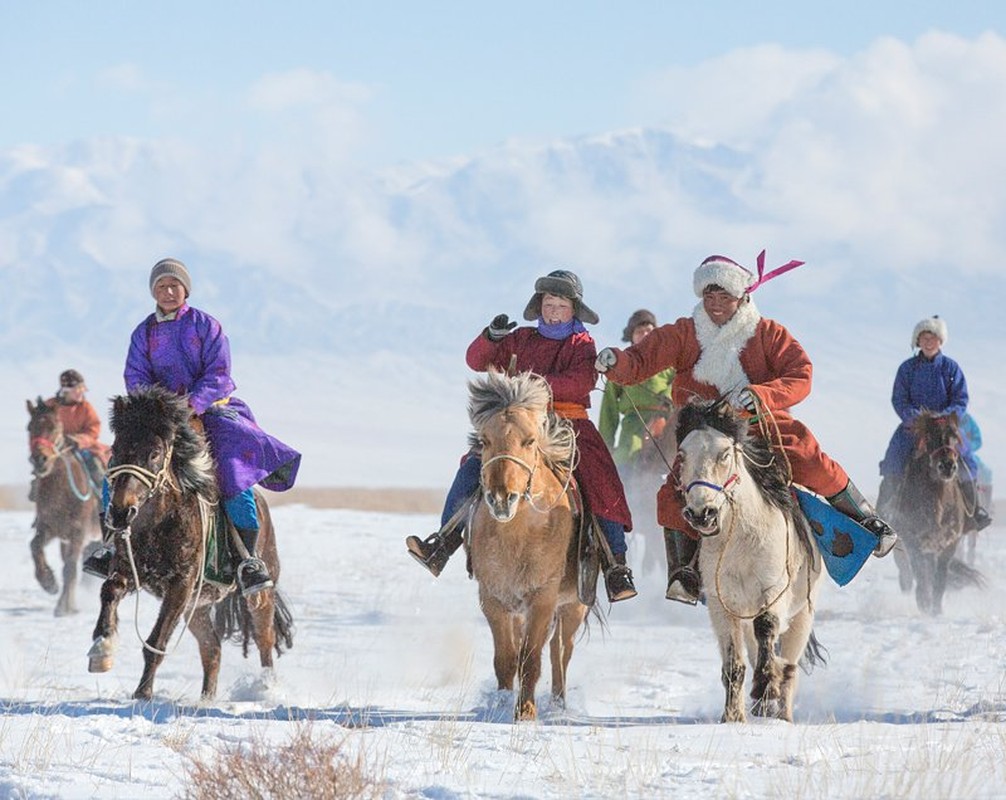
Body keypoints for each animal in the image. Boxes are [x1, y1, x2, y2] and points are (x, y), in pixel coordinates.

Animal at [25, 396, 101, 615]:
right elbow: (35, 547)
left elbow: (70, 569)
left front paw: (63, 608)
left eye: (55, 427)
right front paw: (49, 583)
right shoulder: (49, 528)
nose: (40, 459)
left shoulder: (78, 533)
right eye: (30, 427)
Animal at [86, 388, 293, 700]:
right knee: (212, 648)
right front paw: (101, 651)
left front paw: (143, 693)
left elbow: (156, 641)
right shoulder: (128, 570)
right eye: (115, 449)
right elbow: (108, 591)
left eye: (155, 453)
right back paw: (206, 699)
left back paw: (266, 689)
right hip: (198, 609)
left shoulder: (180, 585)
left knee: (264, 640)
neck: (158, 521)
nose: (121, 513)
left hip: (259, 594)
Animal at [676, 398, 824, 720]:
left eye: (724, 454)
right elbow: (734, 664)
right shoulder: (721, 605)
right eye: (681, 455)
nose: (701, 513)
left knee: (790, 667)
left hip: (803, 615)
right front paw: (732, 716)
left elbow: (766, 627)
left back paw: (782, 713)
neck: (740, 541)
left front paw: (766, 685)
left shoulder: (773, 591)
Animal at [889, 410, 981, 615]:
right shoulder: (914, 541)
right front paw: (924, 602)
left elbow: (940, 577)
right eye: (930, 437)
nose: (947, 466)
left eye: (955, 436)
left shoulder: (949, 544)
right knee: (909, 572)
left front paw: (936, 610)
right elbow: (920, 574)